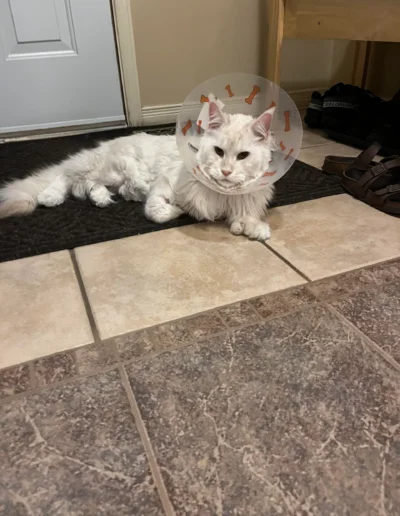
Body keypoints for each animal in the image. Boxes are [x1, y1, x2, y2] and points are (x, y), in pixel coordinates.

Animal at [0, 102, 276, 240]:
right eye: (218, 151)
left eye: (242, 156)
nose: (226, 172)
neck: (222, 193)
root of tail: (106, 145)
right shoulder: (164, 185)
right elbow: (157, 212)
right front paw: (178, 211)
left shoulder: (244, 202)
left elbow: (246, 216)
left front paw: (253, 228)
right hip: (111, 170)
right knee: (68, 176)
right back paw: (50, 197)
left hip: (112, 177)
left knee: (88, 185)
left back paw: (103, 199)